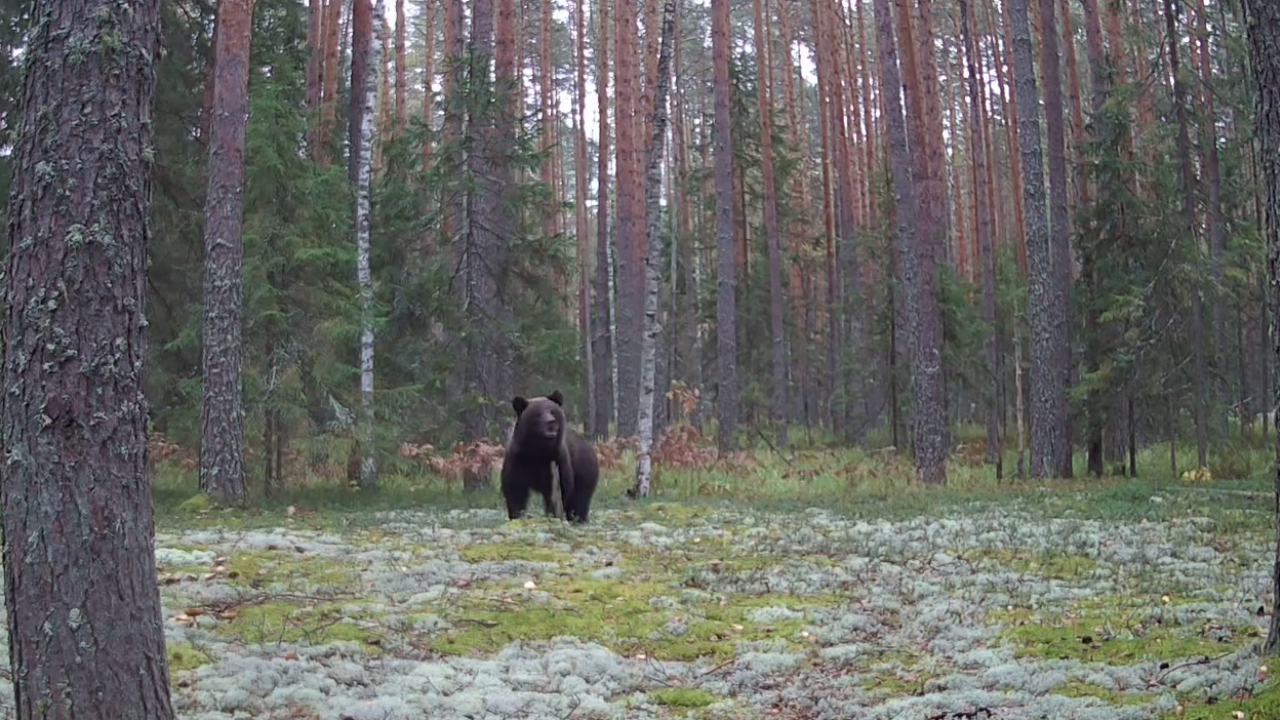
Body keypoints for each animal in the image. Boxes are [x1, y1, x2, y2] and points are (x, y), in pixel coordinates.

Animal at [501, 389, 600, 523]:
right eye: (538, 413)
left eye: (552, 411)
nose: (551, 421)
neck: (538, 451)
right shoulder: (518, 459)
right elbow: (515, 490)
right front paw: (518, 517)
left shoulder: (557, 460)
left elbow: (559, 491)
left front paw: (552, 516)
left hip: (584, 471)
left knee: (579, 501)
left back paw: (579, 519)